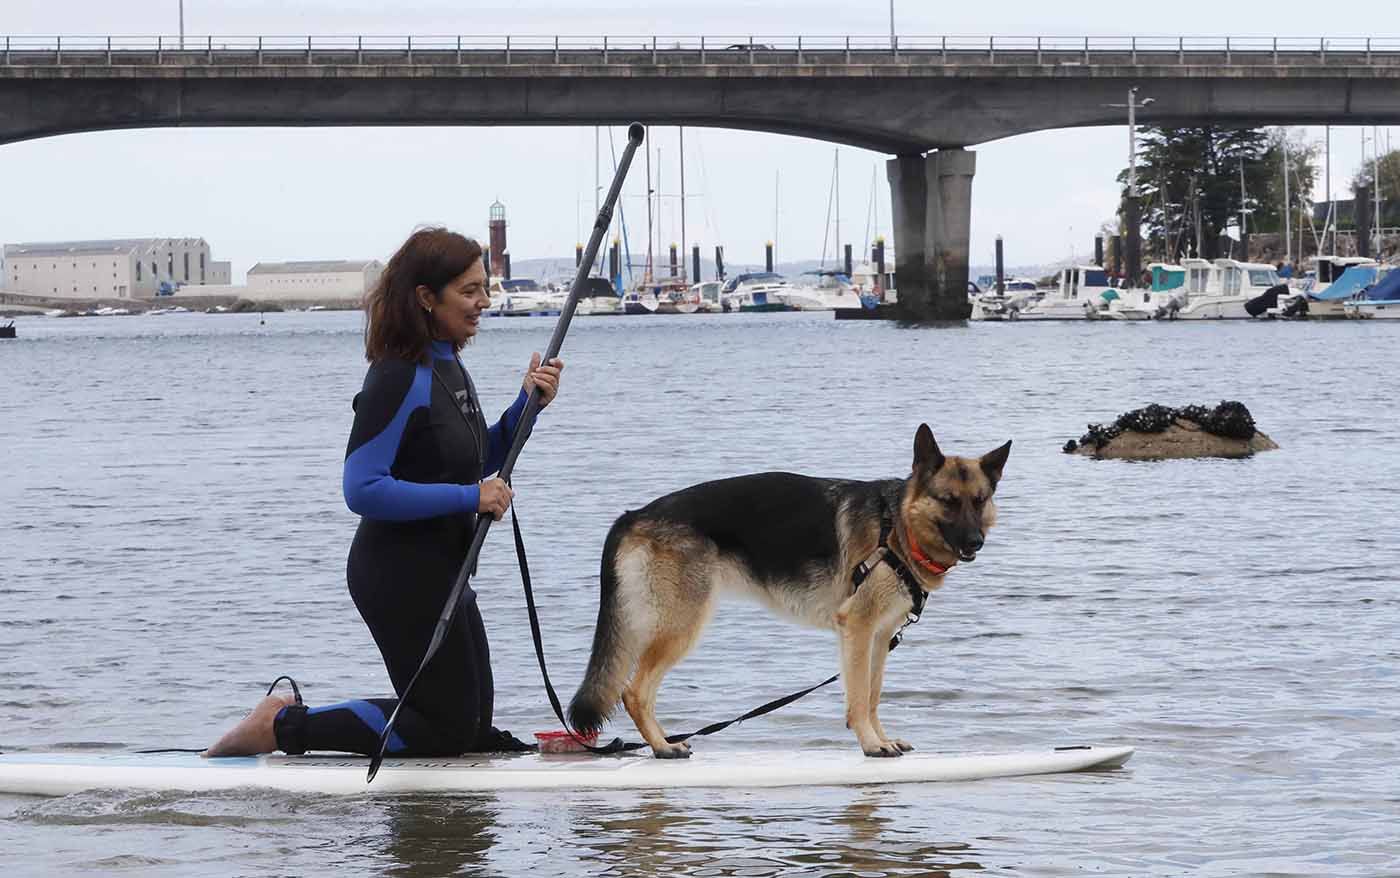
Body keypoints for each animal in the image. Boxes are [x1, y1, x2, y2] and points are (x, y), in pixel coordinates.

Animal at [568, 425, 1008, 756]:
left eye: (979, 500)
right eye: (948, 501)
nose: (976, 542)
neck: (897, 527)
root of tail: (635, 515)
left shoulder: (880, 636)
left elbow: (873, 694)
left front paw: (882, 739)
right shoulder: (858, 628)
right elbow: (859, 697)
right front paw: (871, 744)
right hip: (682, 625)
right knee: (634, 691)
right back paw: (663, 746)